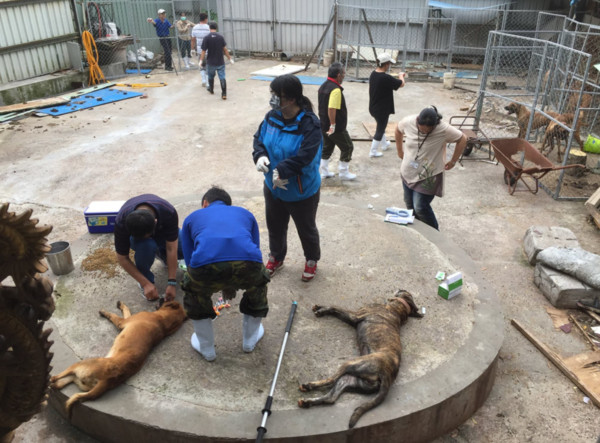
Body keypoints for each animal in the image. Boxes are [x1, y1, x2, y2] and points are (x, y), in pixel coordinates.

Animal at [49, 300, 185, 418]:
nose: (161, 297)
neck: (163, 323)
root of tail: (106, 380)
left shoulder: (122, 321)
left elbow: (117, 315)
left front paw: (107, 312)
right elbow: (127, 310)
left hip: (82, 364)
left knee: (58, 377)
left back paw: (51, 379)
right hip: (81, 381)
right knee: (61, 383)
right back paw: (54, 386)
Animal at [298, 290, 422, 428]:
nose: (399, 288)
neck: (397, 309)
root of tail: (387, 375)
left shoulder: (355, 315)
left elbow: (335, 307)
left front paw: (321, 309)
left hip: (351, 363)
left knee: (331, 380)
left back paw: (308, 386)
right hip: (350, 380)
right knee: (331, 397)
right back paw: (307, 402)